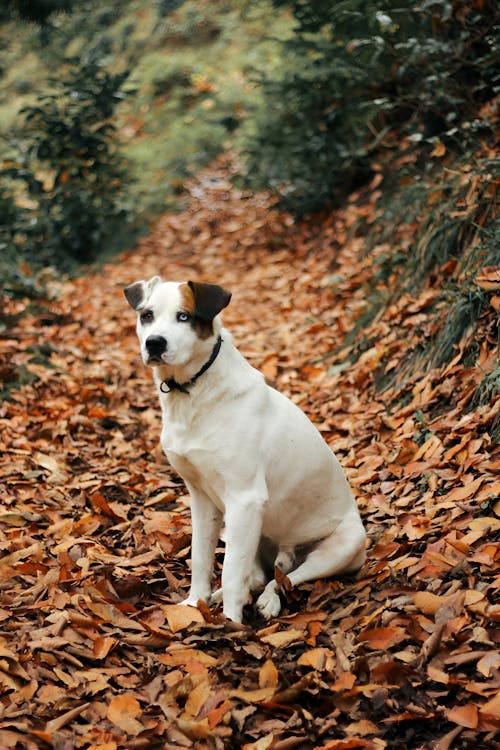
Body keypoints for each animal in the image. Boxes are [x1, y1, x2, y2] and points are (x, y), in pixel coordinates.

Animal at [124, 278, 368, 624]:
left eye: (184, 316)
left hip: (343, 544)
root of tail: (288, 550)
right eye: (147, 315)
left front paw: (230, 622)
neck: (194, 391)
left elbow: (230, 572)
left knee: (286, 579)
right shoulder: (201, 497)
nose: (154, 343)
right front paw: (195, 604)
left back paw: (268, 601)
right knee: (261, 576)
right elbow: (201, 557)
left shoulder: (245, 498)